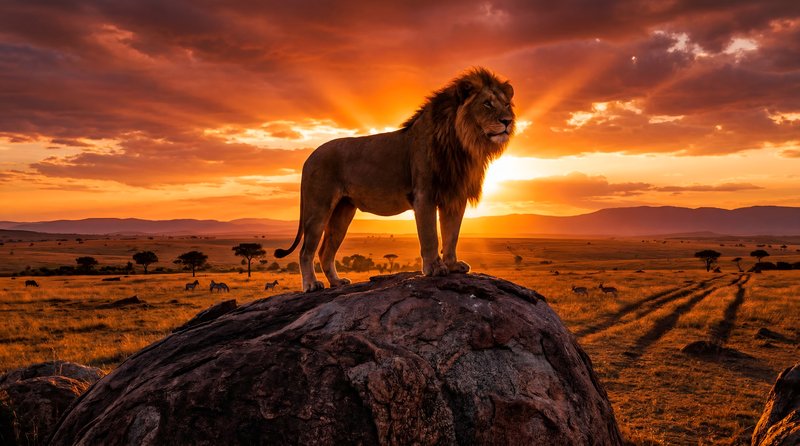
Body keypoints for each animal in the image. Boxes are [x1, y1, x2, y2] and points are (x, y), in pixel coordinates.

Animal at [275, 67, 515, 292]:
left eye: (506, 104)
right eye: (487, 104)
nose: (508, 121)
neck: (462, 144)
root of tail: (309, 158)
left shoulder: (455, 196)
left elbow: (451, 234)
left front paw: (453, 265)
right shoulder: (424, 195)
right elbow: (430, 236)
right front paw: (434, 268)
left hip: (343, 212)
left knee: (326, 251)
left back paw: (337, 282)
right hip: (318, 207)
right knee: (306, 251)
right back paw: (311, 285)